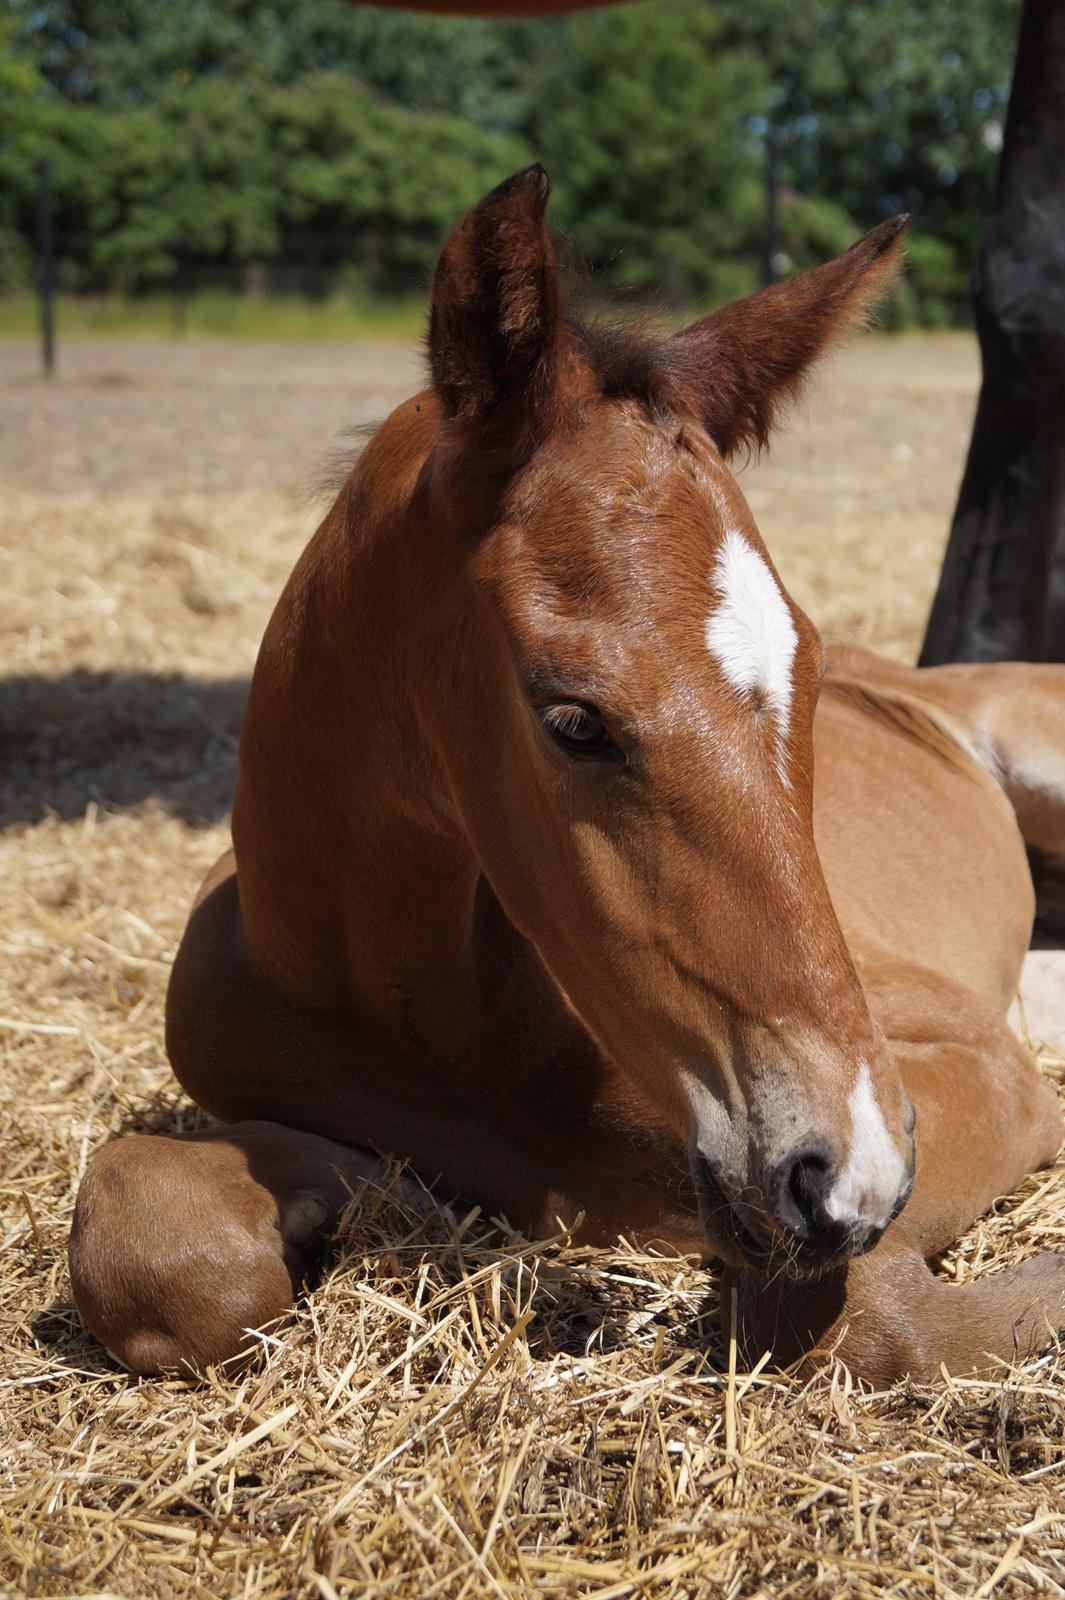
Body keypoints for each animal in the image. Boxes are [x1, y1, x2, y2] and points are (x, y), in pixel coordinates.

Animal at [68, 168, 1061, 1382]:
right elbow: (145, 1239)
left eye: (815, 668)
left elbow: (850, 1310)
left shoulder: (974, 1067)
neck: (420, 1018)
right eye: (573, 720)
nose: (845, 1170)